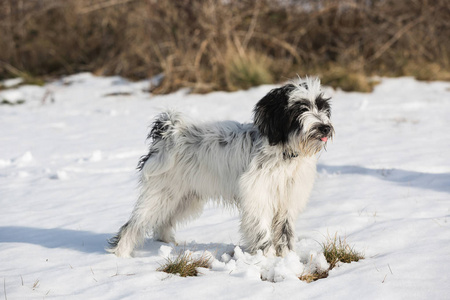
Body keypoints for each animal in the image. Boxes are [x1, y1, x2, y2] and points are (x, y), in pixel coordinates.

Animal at [109, 77, 334, 258]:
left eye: (322, 107)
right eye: (300, 108)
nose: (325, 127)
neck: (284, 153)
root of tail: (169, 132)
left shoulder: (287, 199)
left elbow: (285, 232)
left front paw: (287, 258)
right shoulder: (257, 197)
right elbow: (262, 232)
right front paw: (267, 258)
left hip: (184, 198)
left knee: (163, 223)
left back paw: (168, 244)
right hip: (161, 194)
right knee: (133, 225)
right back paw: (121, 254)